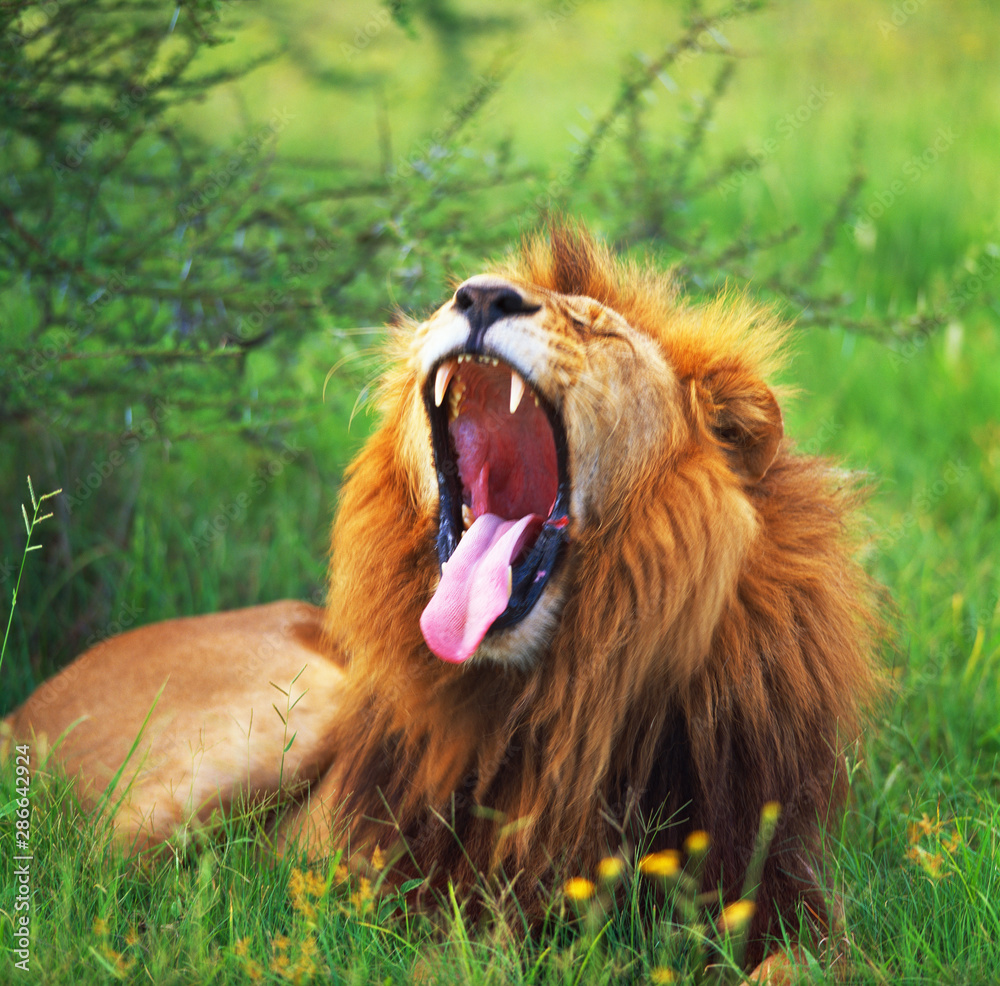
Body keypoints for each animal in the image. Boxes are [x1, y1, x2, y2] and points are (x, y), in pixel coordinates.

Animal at [6, 223, 880, 972]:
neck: (579, 690)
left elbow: (807, 961)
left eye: (598, 329)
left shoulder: (782, 886)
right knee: (96, 882)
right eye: (461, 292)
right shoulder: (447, 903)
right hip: (304, 702)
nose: (483, 296)